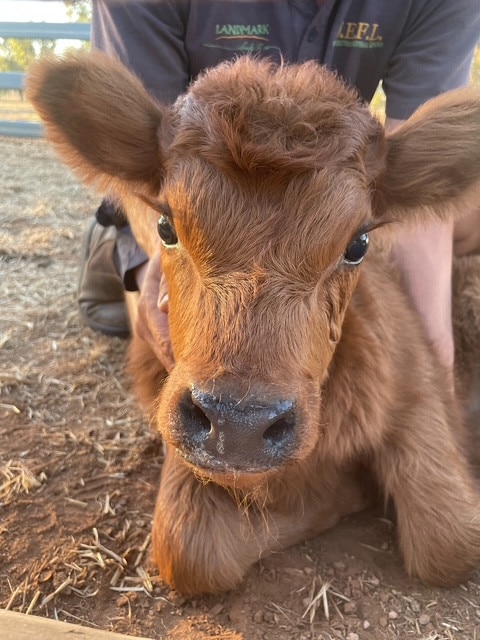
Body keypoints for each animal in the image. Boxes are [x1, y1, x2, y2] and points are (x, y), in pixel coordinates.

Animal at [27, 53, 480, 596]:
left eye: (358, 245)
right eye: (166, 226)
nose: (238, 424)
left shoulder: (420, 388)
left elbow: (449, 540)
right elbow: (190, 548)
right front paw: (342, 488)